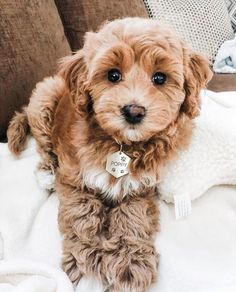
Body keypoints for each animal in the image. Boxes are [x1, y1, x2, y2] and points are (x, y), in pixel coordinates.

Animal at [7, 17, 212, 290]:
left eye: (159, 78)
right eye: (113, 75)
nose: (134, 111)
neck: (122, 144)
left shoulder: (140, 188)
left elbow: (133, 218)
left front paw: (130, 262)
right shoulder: (74, 179)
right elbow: (80, 216)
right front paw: (85, 257)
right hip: (44, 100)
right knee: (44, 146)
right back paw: (46, 173)